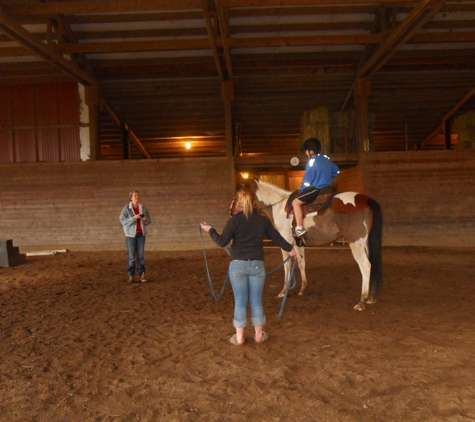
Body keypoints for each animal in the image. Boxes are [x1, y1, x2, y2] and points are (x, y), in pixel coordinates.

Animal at [238, 176, 384, 312]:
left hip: (356, 243)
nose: (234, 211)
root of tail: (365, 199)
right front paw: (302, 289)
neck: (279, 207)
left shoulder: (285, 243)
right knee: (371, 265)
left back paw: (361, 301)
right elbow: (301, 263)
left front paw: (283, 291)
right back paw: (370, 298)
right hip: (364, 243)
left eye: (239, 194)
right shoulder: (298, 244)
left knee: (365, 266)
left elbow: (286, 266)